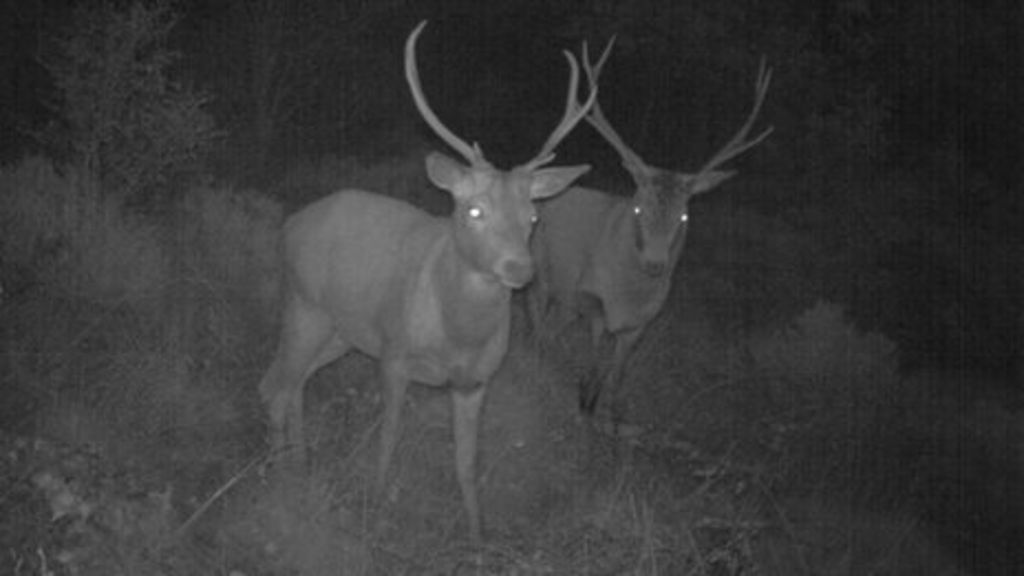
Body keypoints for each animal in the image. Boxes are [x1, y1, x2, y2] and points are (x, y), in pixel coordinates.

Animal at [257, 20, 597, 544]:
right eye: (474, 210)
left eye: (534, 215)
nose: (520, 269)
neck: (456, 335)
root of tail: (290, 224)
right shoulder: (394, 355)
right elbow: (388, 437)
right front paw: (375, 512)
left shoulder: (475, 381)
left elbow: (467, 462)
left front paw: (478, 536)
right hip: (303, 306)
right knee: (273, 386)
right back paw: (280, 478)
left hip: (339, 332)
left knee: (292, 383)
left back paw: (300, 462)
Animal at [528, 40, 772, 424]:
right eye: (639, 208)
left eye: (684, 216)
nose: (656, 265)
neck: (628, 295)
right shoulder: (591, 298)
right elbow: (595, 361)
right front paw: (584, 403)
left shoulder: (642, 323)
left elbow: (618, 375)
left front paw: (611, 416)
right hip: (543, 271)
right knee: (538, 315)